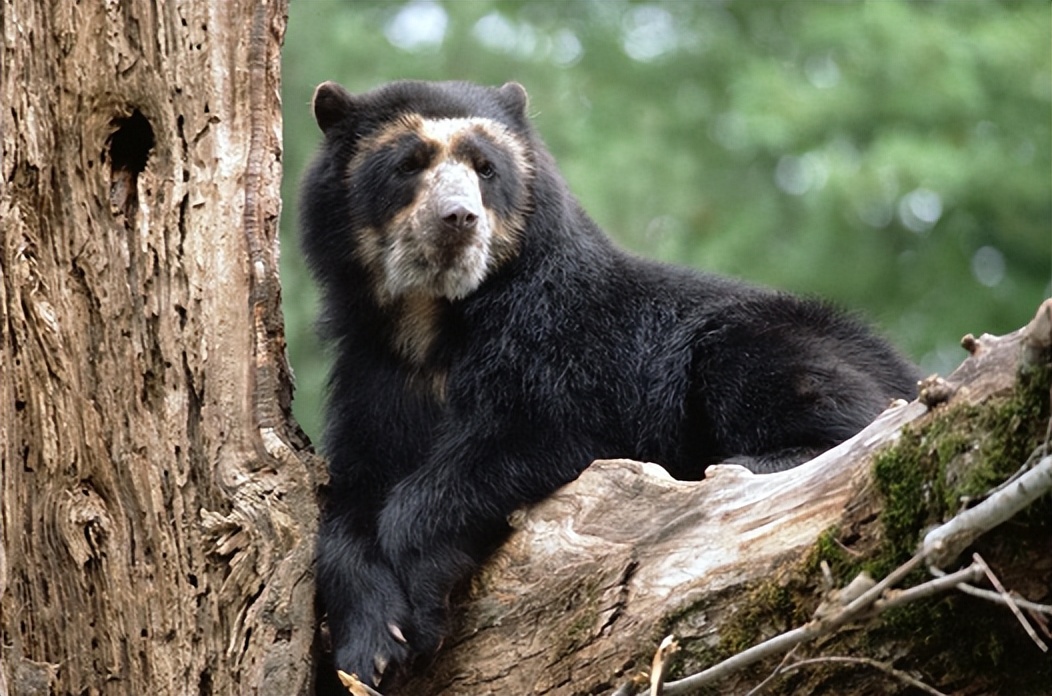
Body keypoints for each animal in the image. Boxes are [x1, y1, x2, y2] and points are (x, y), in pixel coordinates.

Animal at [298, 78, 921, 689]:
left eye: (485, 168)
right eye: (409, 164)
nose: (458, 218)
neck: (432, 322)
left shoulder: (563, 351)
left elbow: (529, 440)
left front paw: (420, 605)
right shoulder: (374, 376)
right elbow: (352, 499)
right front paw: (371, 648)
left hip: (772, 337)